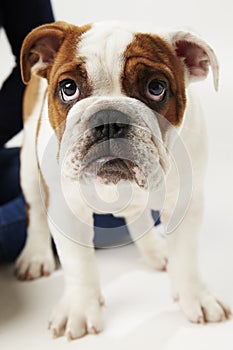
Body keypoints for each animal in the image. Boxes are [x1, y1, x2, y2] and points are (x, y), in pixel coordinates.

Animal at [15, 21, 230, 340]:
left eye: (156, 88)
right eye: (68, 88)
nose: (108, 117)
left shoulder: (186, 205)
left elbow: (187, 256)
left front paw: (196, 297)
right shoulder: (66, 210)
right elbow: (78, 264)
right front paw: (80, 308)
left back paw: (155, 251)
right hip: (29, 166)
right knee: (35, 213)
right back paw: (35, 255)